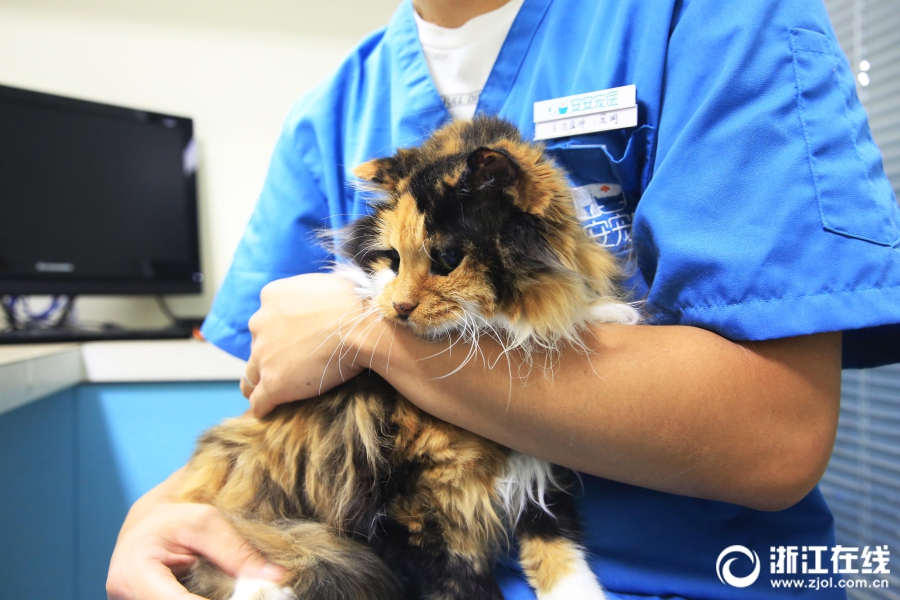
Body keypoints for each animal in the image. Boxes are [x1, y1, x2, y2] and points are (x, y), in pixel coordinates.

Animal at [178, 115, 640, 596]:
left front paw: (609, 314)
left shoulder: (537, 471)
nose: (399, 307)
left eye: (448, 258)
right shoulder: (418, 505)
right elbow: (461, 583)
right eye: (393, 259)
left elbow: (561, 557)